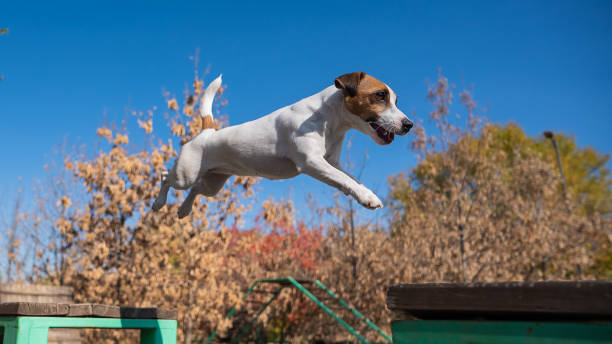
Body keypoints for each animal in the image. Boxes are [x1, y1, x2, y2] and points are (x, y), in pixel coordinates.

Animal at [151, 72, 414, 218]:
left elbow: (351, 179)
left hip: (213, 183)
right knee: (165, 176)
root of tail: (207, 132)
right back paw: (158, 203)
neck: (329, 117)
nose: (409, 124)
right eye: (380, 95)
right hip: (184, 174)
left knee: (196, 190)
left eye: (395, 100)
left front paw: (366, 193)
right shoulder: (312, 163)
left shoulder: (332, 163)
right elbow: (346, 180)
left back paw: (184, 210)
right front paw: (366, 197)